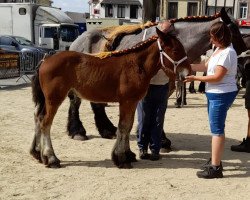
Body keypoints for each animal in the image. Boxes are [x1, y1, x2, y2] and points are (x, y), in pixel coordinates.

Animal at [30, 28, 190, 169]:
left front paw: (128, 154)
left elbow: (128, 126)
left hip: (46, 100)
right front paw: (121, 159)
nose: (187, 73)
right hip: (54, 99)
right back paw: (51, 158)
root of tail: (46, 59)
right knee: (45, 123)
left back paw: (38, 154)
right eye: (176, 51)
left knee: (38, 117)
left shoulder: (132, 102)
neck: (136, 65)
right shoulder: (127, 101)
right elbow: (124, 127)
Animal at [67, 7, 247, 141]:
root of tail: (78, 39)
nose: (245, 53)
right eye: (233, 29)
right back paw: (77, 131)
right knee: (75, 102)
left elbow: (160, 113)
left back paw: (107, 129)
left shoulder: (166, 89)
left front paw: (159, 138)